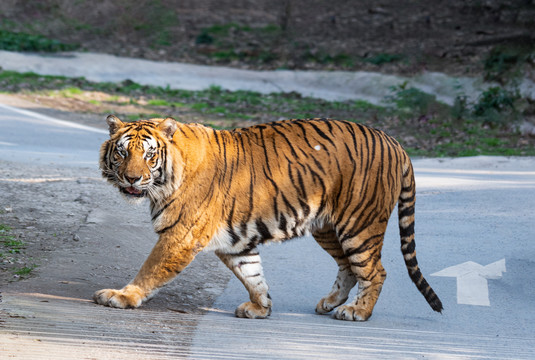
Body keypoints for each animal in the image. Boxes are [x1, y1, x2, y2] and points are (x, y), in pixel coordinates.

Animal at [93, 115, 444, 320]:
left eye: (149, 154)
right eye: (122, 152)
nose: (132, 179)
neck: (165, 180)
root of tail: (395, 142)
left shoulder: (181, 236)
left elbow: (150, 270)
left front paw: (123, 296)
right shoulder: (235, 243)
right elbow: (252, 274)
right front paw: (261, 307)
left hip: (359, 225)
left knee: (375, 271)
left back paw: (356, 311)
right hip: (327, 228)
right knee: (348, 266)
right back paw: (330, 302)